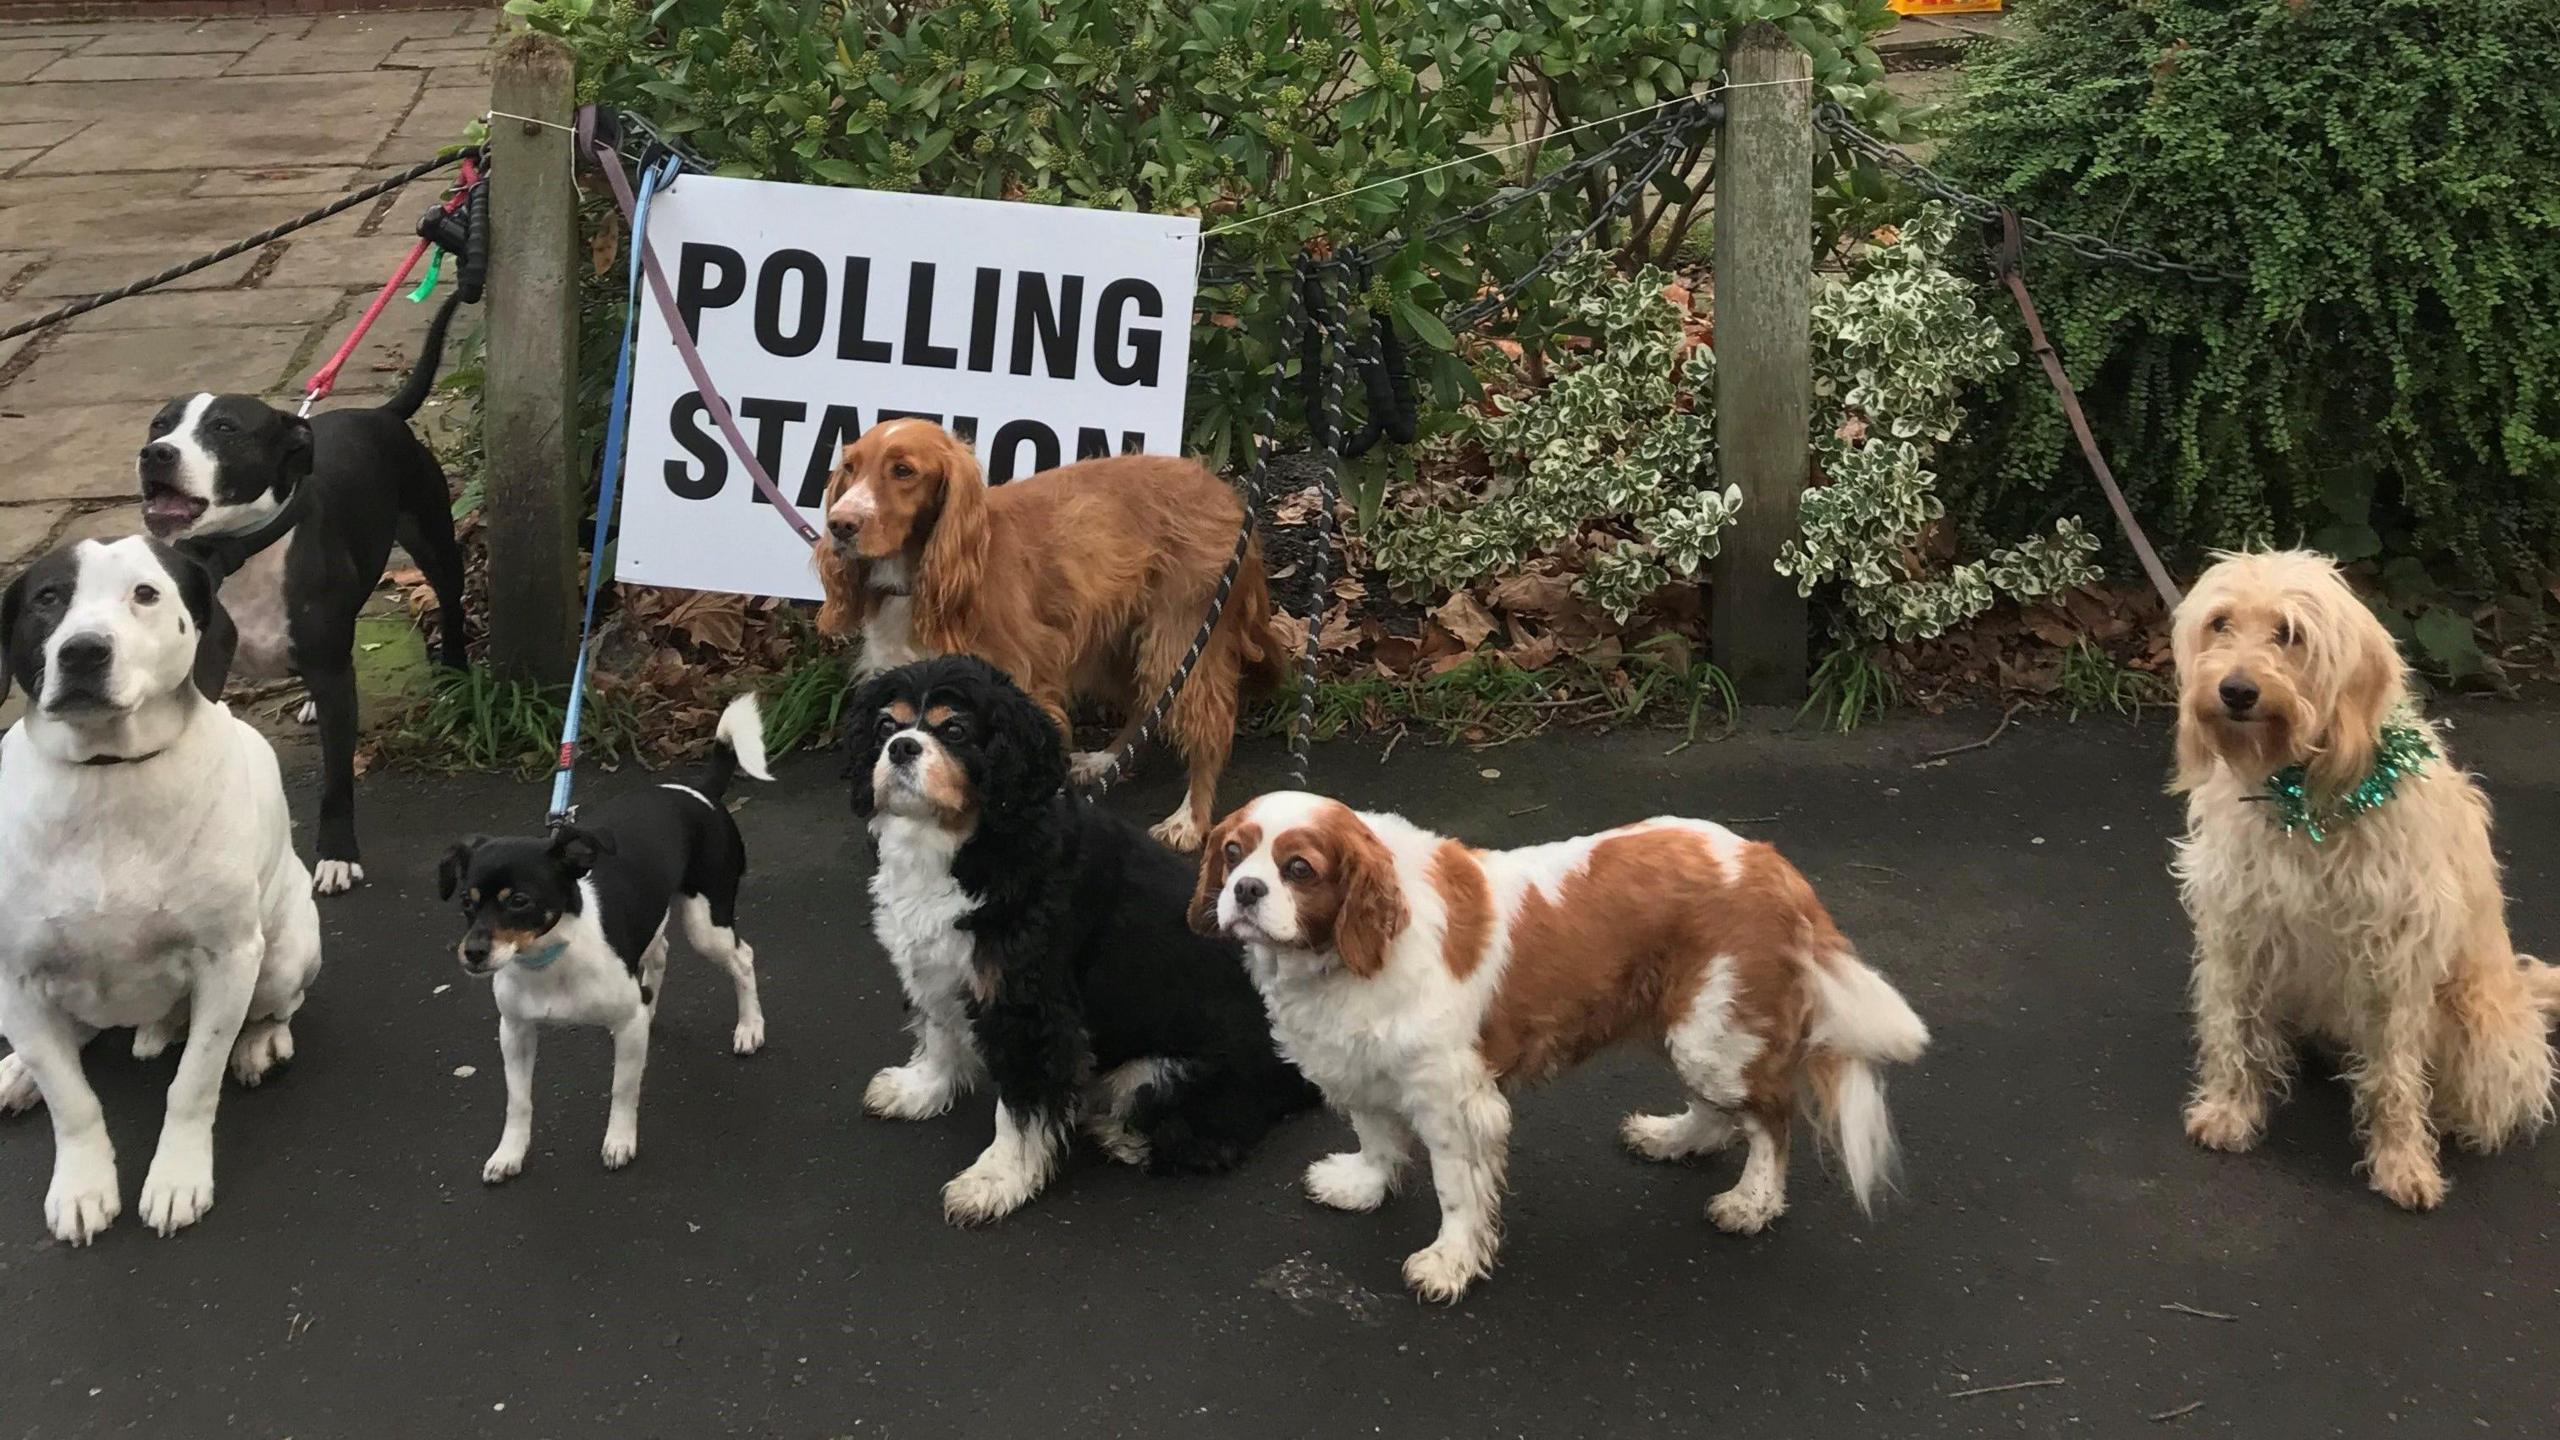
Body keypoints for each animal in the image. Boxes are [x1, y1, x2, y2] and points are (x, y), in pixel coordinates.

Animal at [0, 532, 325, 1240]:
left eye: (145, 594)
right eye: (48, 597)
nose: (82, 651)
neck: (107, 773)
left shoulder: (227, 959)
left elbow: (193, 1083)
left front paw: (177, 1177)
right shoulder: (15, 977)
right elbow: (72, 1100)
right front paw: (83, 1185)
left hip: (285, 953)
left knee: (275, 1005)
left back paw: (260, 1041)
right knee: (70, 1039)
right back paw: (17, 1072)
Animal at [141, 293, 476, 896]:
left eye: (224, 428)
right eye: (161, 424)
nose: (155, 453)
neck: (238, 553)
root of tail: (381, 413)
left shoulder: (336, 679)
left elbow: (337, 781)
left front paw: (338, 855)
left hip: (435, 543)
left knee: (452, 605)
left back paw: (455, 678)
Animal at [440, 691, 768, 1178]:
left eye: (519, 900)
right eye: (467, 900)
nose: (474, 953)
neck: (553, 959)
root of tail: (701, 792)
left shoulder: (624, 1030)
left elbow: (622, 1090)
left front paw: (619, 1141)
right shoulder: (515, 1032)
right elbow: (518, 1101)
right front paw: (509, 1153)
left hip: (706, 923)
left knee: (742, 958)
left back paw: (749, 1027)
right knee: (659, 952)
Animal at [844, 653, 1320, 1219]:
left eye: (955, 730)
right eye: (885, 726)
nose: (902, 748)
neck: (966, 846)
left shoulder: (1031, 1006)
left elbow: (1019, 1107)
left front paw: (995, 1180)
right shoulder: (937, 965)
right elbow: (938, 1033)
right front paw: (920, 1089)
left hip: (1168, 1075)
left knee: (1210, 1135)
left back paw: (1121, 1134)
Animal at [2181, 543, 2560, 1204]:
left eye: (2290, 634)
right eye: (2220, 623)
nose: (2236, 690)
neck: (2300, 801)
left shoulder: (2395, 961)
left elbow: (2395, 1075)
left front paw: (2402, 1159)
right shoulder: (2239, 929)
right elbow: (2234, 1027)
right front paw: (2229, 1110)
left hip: (2481, 1027)